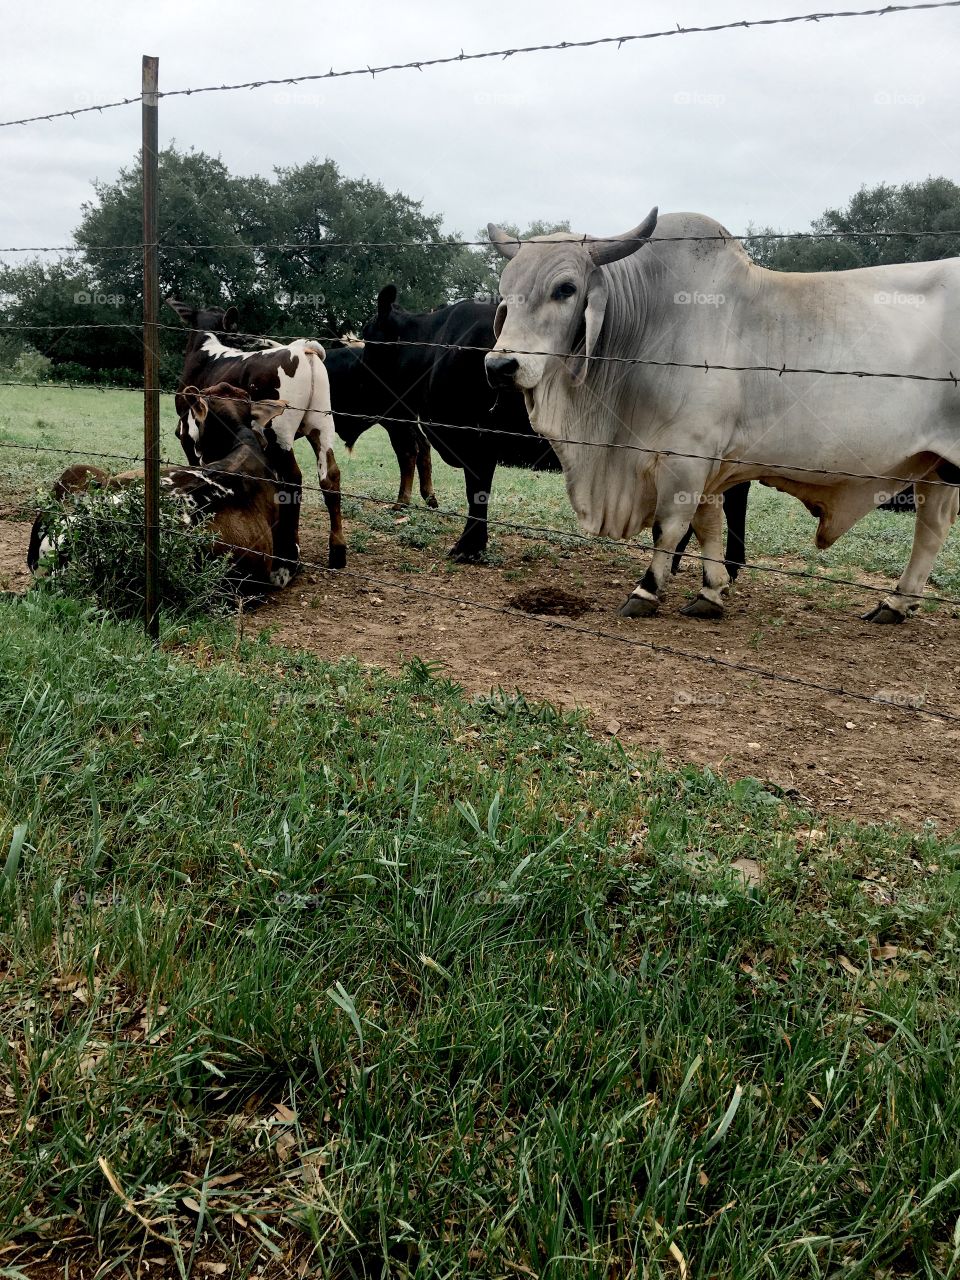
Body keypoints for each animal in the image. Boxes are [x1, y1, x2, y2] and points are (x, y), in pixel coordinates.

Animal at [166, 299, 345, 570]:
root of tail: (301, 349)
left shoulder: (188, 436)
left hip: (279, 432)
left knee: (292, 478)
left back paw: (291, 551)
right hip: (322, 426)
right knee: (330, 478)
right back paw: (337, 551)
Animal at [485, 210, 960, 623]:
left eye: (565, 288)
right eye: (506, 289)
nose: (500, 365)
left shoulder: (687, 456)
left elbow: (670, 527)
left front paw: (646, 590)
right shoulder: (708, 464)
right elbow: (707, 523)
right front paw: (711, 591)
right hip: (936, 466)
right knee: (931, 529)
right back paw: (895, 604)